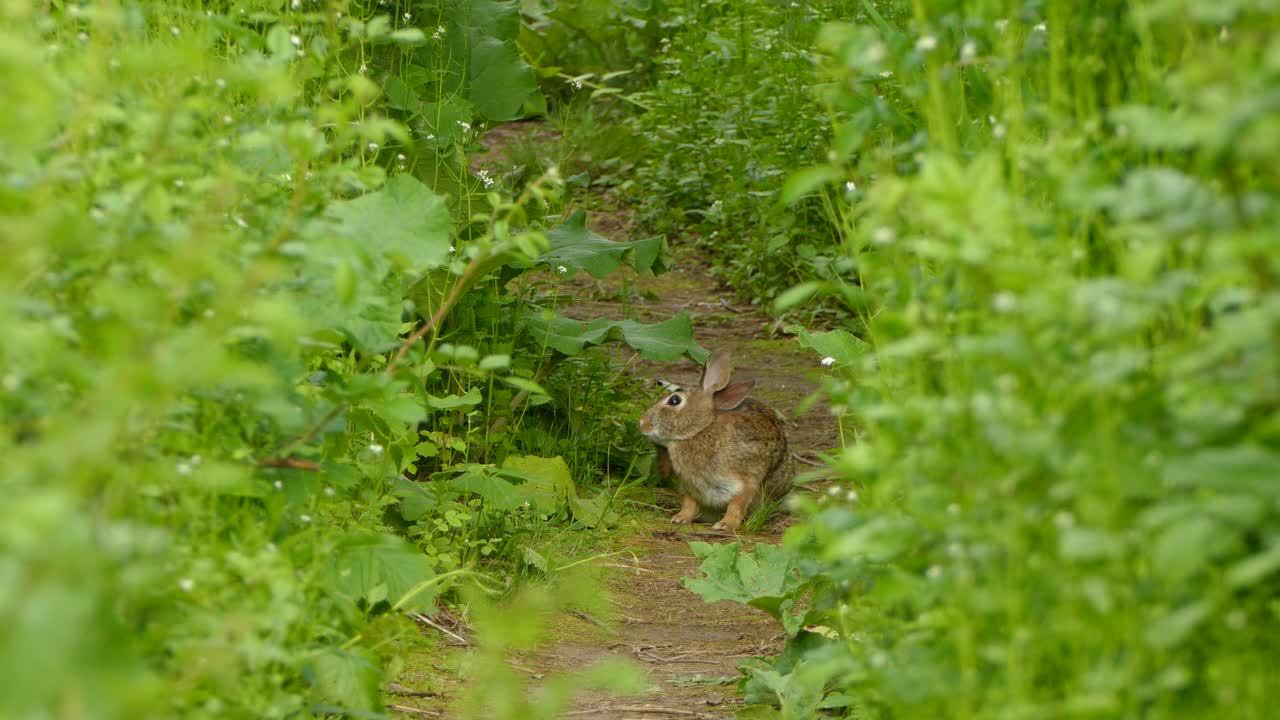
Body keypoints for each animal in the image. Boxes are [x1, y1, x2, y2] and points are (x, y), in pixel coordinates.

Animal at [637, 348, 792, 531]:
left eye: (674, 400)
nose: (641, 424)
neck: (700, 430)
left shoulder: (746, 480)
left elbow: (737, 504)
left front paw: (726, 524)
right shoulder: (692, 487)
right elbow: (689, 503)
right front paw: (680, 518)